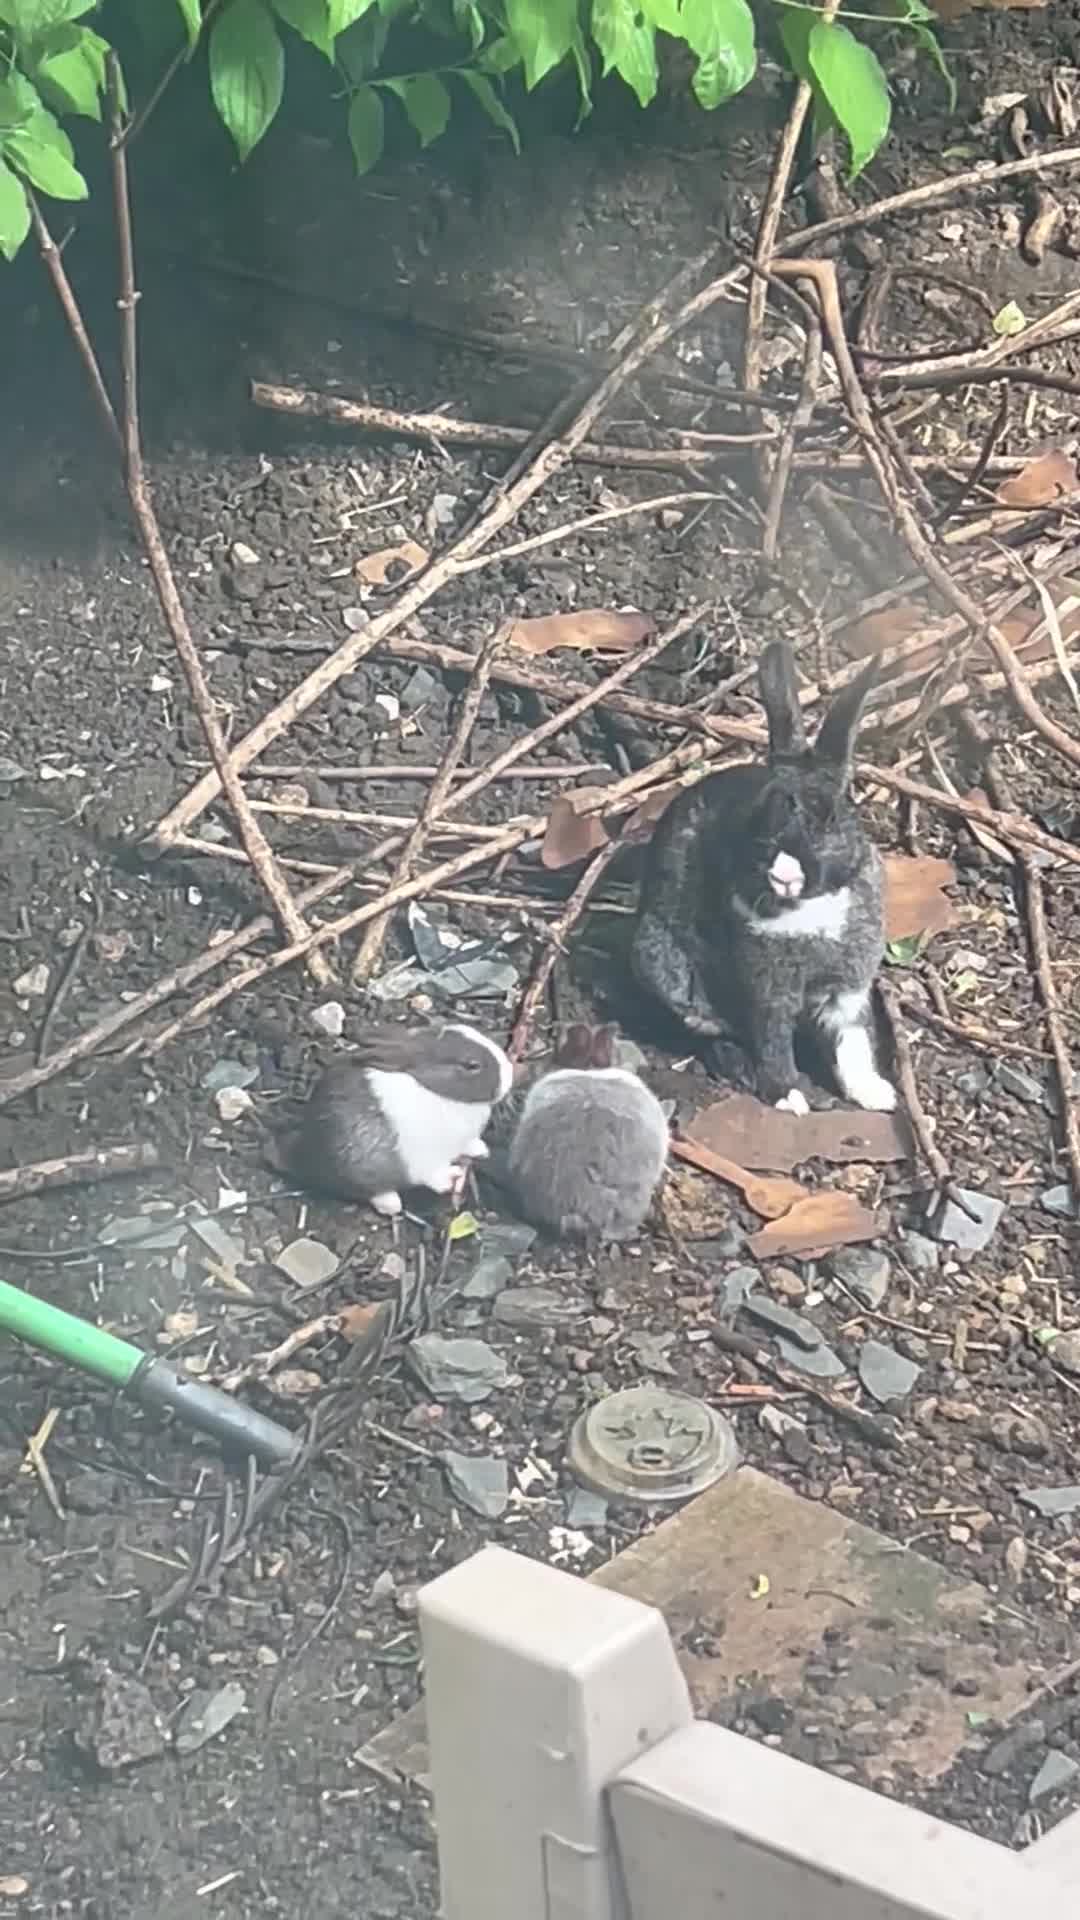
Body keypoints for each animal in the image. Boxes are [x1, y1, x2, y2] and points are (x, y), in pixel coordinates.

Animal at [277, 1021, 514, 1215]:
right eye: (471, 1065)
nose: (510, 1074)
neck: (436, 1090)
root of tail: (302, 1154)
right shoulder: (425, 1160)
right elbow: (435, 1176)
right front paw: (453, 1177)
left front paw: (482, 1150)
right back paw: (392, 1204)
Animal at [631, 640, 896, 1116]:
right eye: (761, 812)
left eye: (830, 818)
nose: (784, 873)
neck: (812, 907)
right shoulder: (768, 991)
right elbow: (772, 1040)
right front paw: (788, 1096)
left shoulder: (847, 988)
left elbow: (852, 1041)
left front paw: (876, 1093)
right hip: (665, 966)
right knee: (706, 1026)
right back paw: (734, 1062)